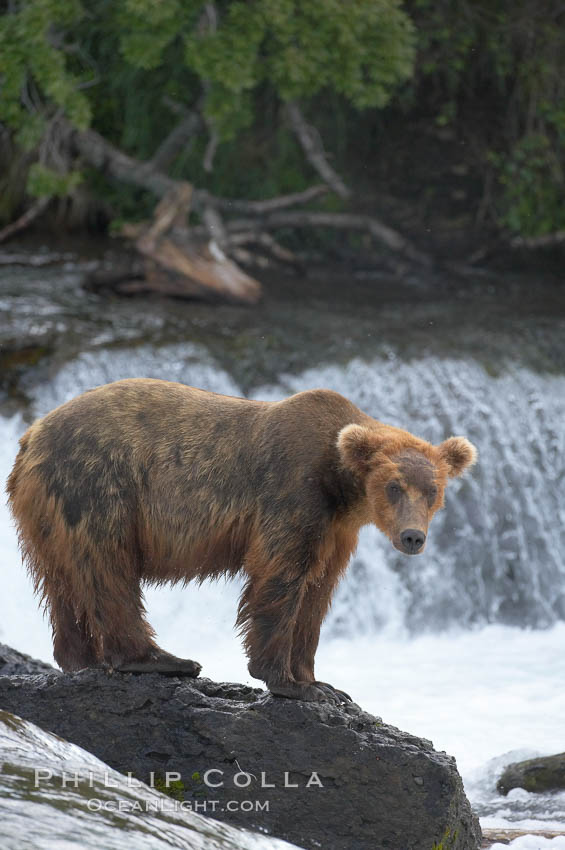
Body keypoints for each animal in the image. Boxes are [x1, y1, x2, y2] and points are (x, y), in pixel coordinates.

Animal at [7, 380, 476, 700]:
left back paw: (80, 658)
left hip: (46, 515)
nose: (413, 536)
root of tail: (30, 436)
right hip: (99, 484)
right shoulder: (294, 494)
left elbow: (318, 592)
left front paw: (320, 680)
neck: (341, 488)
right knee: (108, 568)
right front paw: (288, 681)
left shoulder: (336, 531)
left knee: (61, 581)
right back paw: (162, 660)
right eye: (394, 486)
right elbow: (281, 578)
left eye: (432, 489)